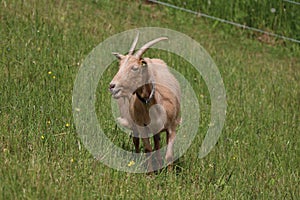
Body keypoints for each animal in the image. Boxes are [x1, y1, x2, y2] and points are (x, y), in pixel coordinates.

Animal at [109, 33, 180, 171]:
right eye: (119, 66)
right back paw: (137, 160)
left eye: (135, 68)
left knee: (157, 142)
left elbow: (169, 155)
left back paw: (159, 162)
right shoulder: (142, 127)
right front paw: (150, 173)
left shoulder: (172, 126)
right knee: (136, 140)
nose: (112, 86)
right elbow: (147, 149)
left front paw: (169, 175)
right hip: (133, 123)